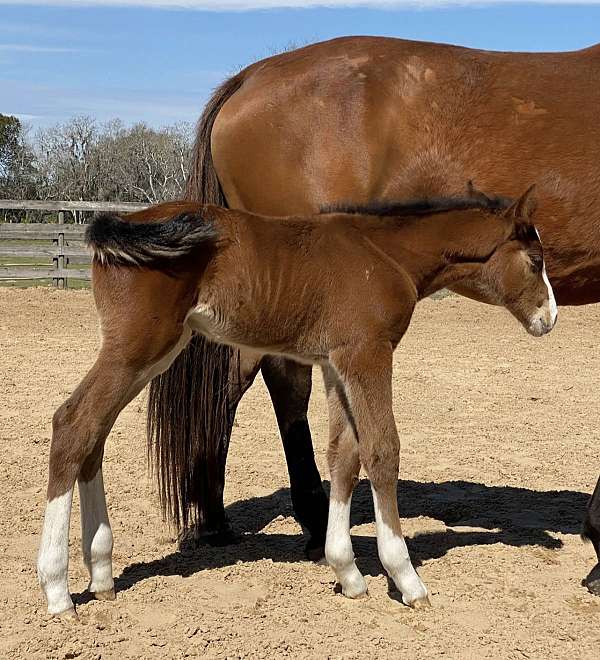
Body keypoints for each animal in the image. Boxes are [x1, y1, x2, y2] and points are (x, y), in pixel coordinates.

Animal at [37, 184, 556, 612]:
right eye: (535, 262)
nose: (549, 318)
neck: (385, 253)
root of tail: (118, 226)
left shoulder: (334, 363)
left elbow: (344, 455)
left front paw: (347, 572)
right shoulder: (368, 353)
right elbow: (382, 449)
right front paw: (406, 578)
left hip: (153, 354)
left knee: (95, 434)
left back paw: (101, 573)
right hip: (135, 348)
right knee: (72, 424)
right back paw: (58, 589)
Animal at [149, 34, 600, 592]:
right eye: (537, 260)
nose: (548, 317)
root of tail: (250, 76)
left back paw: (224, 519)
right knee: (271, 382)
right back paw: (292, 523)